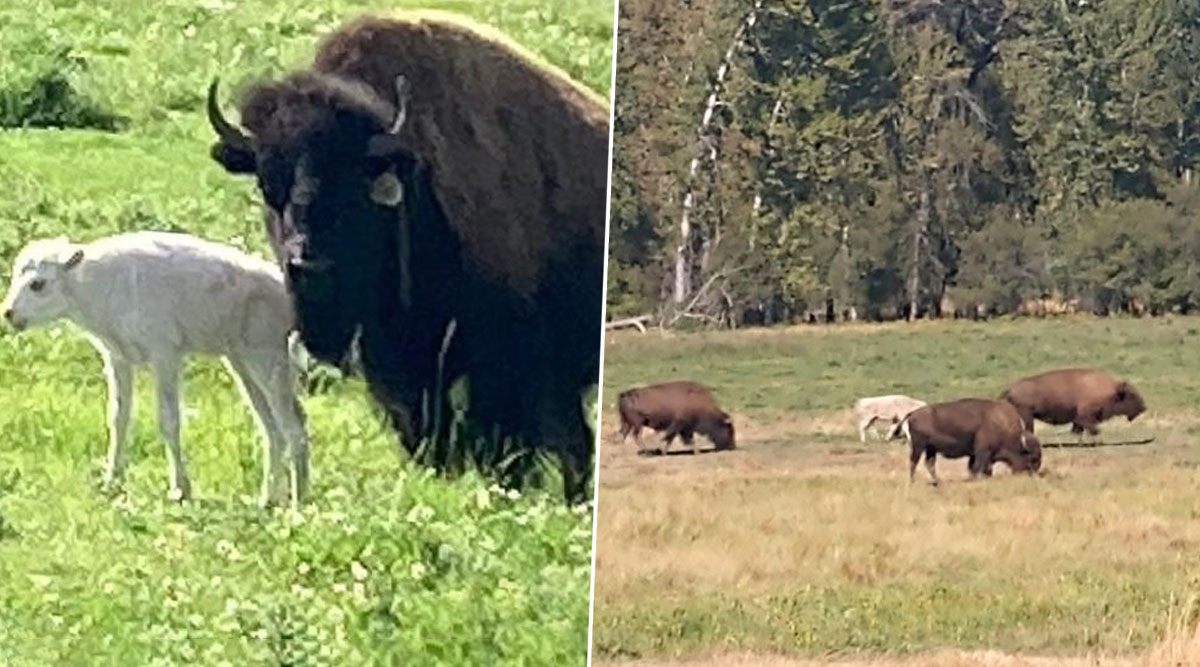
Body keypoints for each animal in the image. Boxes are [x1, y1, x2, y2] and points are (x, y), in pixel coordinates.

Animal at [2, 230, 309, 506]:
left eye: (38, 284)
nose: (9, 314)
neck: (96, 285)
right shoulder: (118, 358)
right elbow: (118, 417)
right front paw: (111, 481)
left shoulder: (164, 357)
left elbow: (169, 421)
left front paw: (180, 489)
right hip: (243, 363)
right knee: (273, 429)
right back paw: (268, 499)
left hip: (266, 359)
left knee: (293, 427)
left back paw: (299, 504)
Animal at [897, 395, 1036, 484]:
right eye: (1031, 458)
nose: (1033, 473)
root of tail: (912, 414)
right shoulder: (982, 451)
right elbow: (978, 467)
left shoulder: (975, 454)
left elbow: (975, 467)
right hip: (919, 447)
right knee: (914, 463)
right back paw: (913, 482)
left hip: (931, 449)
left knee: (929, 464)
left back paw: (937, 482)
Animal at [1003, 367, 1142, 441]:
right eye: (1131, 395)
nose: (1143, 407)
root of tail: (1010, 389)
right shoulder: (1085, 415)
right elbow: (1091, 427)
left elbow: (1078, 429)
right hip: (1027, 416)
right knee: (1028, 429)